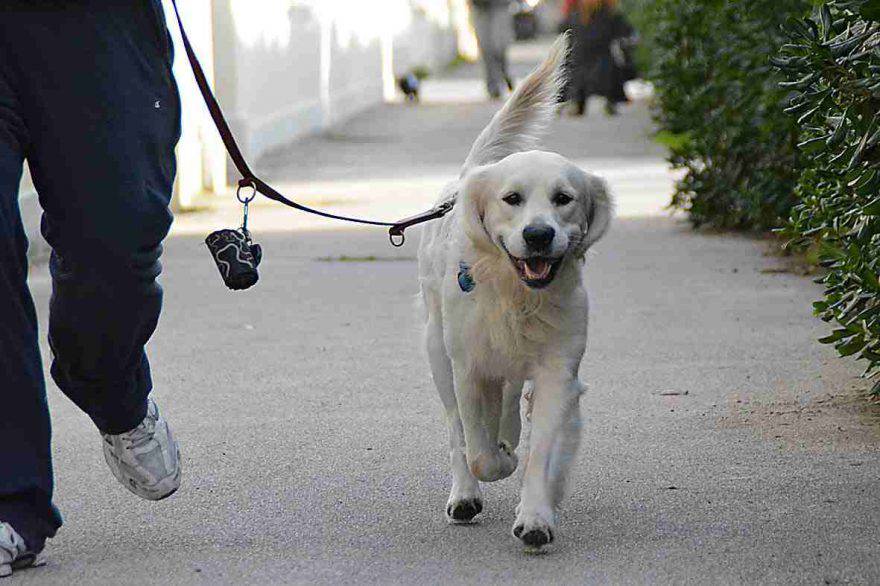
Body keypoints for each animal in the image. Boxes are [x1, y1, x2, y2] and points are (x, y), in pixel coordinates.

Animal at [418, 36, 612, 548]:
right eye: (512, 199)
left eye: (564, 199)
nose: (539, 235)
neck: (518, 296)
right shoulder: (467, 367)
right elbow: (479, 451)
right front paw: (498, 461)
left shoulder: (557, 371)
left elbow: (541, 451)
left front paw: (538, 516)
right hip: (438, 351)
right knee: (458, 433)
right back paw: (465, 493)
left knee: (506, 400)